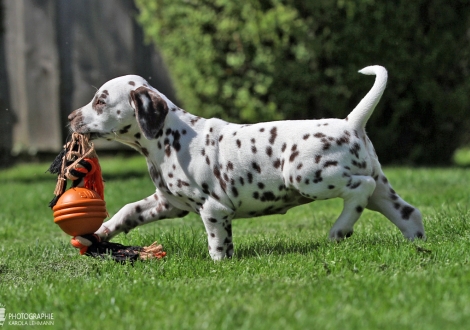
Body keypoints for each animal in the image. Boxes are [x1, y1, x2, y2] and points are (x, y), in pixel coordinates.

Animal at [69, 65, 426, 260]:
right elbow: (129, 210)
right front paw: (99, 232)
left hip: (309, 177)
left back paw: (339, 229)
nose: (71, 117)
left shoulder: (213, 209)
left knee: (359, 190)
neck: (169, 137)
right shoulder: (168, 202)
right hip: (382, 191)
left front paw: (219, 264)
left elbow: (217, 242)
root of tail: (351, 123)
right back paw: (418, 245)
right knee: (408, 212)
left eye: (100, 101)